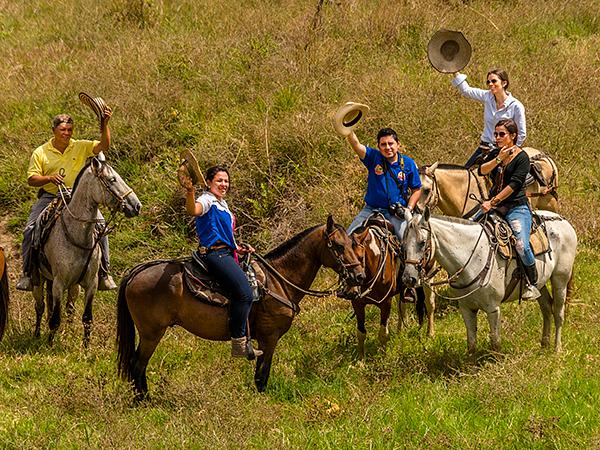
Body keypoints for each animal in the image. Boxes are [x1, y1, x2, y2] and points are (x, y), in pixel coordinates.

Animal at [33, 159, 141, 348]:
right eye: (112, 179)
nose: (136, 206)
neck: (77, 235)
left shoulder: (91, 284)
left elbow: (87, 318)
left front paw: (85, 347)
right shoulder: (58, 283)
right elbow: (55, 318)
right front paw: (50, 343)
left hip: (72, 286)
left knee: (69, 308)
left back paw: (67, 332)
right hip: (39, 281)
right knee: (40, 307)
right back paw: (37, 334)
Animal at [115, 216, 364, 400]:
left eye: (353, 244)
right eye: (339, 246)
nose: (359, 276)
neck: (278, 280)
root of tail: (135, 272)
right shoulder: (269, 338)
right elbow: (262, 376)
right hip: (151, 333)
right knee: (137, 364)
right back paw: (145, 402)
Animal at [404, 208, 576, 356]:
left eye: (422, 242)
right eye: (403, 245)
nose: (408, 278)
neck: (471, 257)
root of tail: (563, 220)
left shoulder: (493, 308)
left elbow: (495, 342)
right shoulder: (466, 308)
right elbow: (471, 342)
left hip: (560, 279)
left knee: (558, 312)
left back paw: (557, 349)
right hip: (540, 283)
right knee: (546, 307)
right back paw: (544, 344)